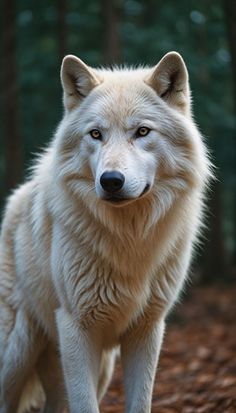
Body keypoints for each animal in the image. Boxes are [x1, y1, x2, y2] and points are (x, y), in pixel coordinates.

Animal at [0, 52, 210, 412]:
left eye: (142, 131)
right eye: (96, 134)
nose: (111, 180)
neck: (129, 239)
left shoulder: (147, 330)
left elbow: (140, 402)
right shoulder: (76, 327)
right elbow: (86, 406)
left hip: (93, 369)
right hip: (16, 352)